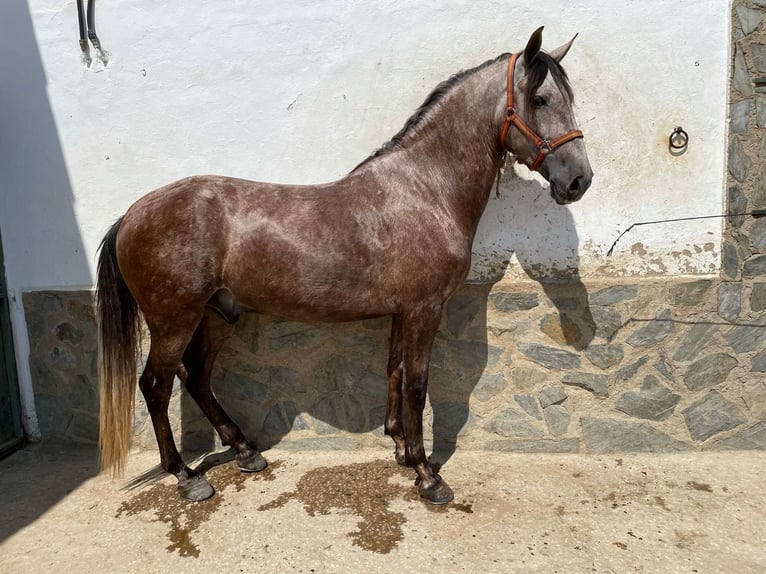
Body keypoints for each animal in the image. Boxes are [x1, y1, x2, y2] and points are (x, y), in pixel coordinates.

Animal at [96, 26, 593, 505]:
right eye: (541, 99)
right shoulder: (424, 309)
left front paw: (399, 448)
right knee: (156, 386)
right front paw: (426, 474)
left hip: (215, 315)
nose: (579, 180)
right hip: (173, 321)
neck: (425, 189)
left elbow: (394, 371)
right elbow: (417, 384)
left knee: (196, 377)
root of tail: (132, 214)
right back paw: (186, 477)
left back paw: (245, 451)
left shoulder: (403, 312)